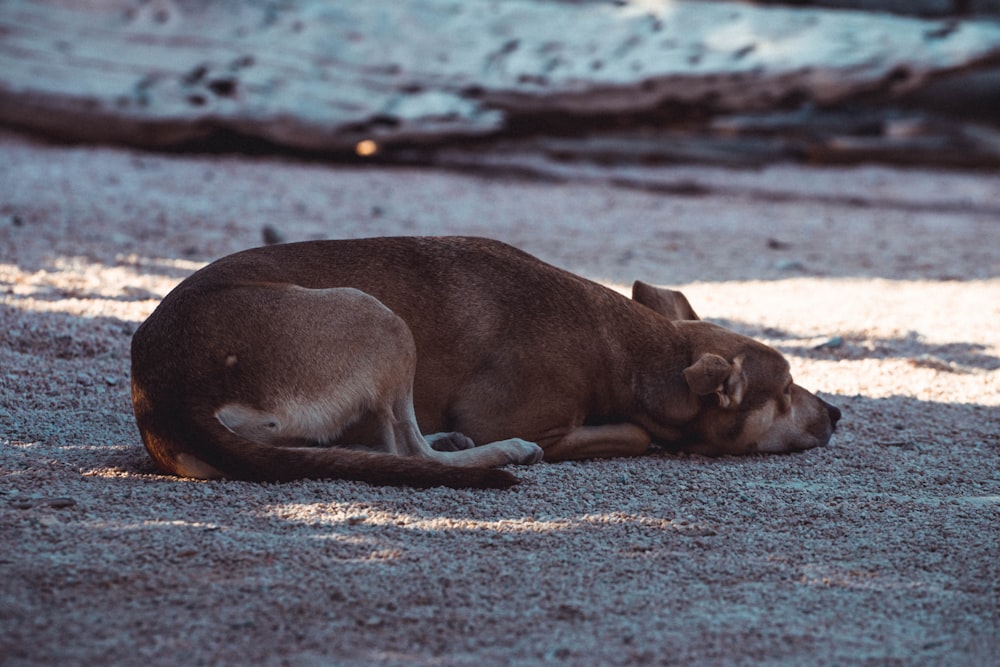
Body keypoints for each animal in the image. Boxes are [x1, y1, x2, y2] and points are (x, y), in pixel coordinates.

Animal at [129, 237, 840, 488]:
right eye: (786, 390)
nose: (836, 412)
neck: (636, 349)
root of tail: (163, 384)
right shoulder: (530, 417)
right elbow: (632, 434)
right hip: (379, 316)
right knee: (408, 449)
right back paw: (489, 454)